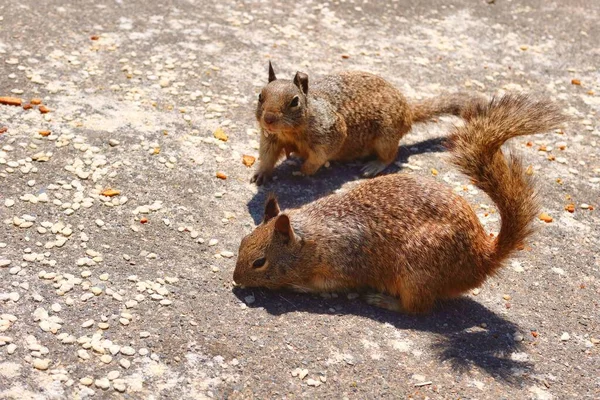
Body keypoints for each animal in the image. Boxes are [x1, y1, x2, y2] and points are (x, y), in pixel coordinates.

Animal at [233, 93, 564, 312]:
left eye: (260, 262)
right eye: (242, 241)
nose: (235, 281)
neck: (312, 240)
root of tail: (483, 257)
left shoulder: (342, 268)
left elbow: (329, 286)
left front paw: (298, 286)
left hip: (416, 273)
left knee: (417, 308)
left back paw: (384, 301)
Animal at [248, 62, 488, 186]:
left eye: (294, 102)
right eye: (260, 96)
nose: (268, 119)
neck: (290, 132)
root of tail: (408, 111)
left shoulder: (330, 135)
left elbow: (318, 158)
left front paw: (304, 170)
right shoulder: (271, 139)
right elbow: (267, 156)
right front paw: (261, 173)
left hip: (386, 137)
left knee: (391, 156)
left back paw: (374, 166)